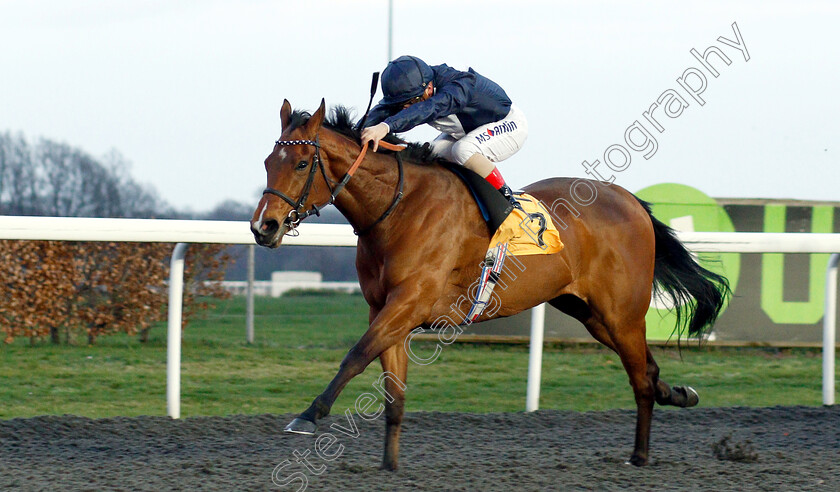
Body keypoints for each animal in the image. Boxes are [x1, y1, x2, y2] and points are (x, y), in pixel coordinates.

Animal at [248, 99, 728, 468]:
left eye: (302, 163)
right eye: (269, 162)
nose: (263, 227)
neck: (398, 209)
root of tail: (631, 201)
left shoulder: (408, 304)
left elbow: (355, 356)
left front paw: (309, 415)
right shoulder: (384, 308)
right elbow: (393, 392)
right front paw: (390, 464)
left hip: (622, 312)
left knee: (640, 379)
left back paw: (640, 455)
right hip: (590, 313)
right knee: (647, 369)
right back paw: (678, 394)